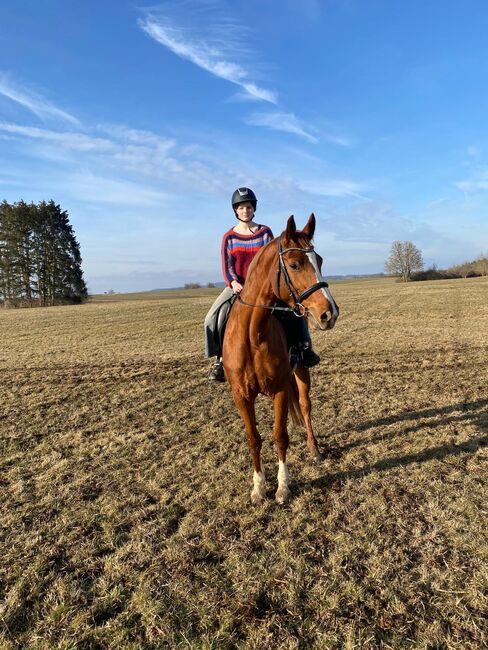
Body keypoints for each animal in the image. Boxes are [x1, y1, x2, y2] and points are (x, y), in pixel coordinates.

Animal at [222, 213, 340, 502]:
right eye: (295, 264)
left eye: (320, 260)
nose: (329, 313)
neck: (253, 335)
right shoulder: (241, 395)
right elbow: (253, 439)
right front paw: (258, 488)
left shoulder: (279, 390)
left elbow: (280, 436)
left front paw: (282, 487)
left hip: (301, 373)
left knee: (306, 406)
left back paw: (314, 449)